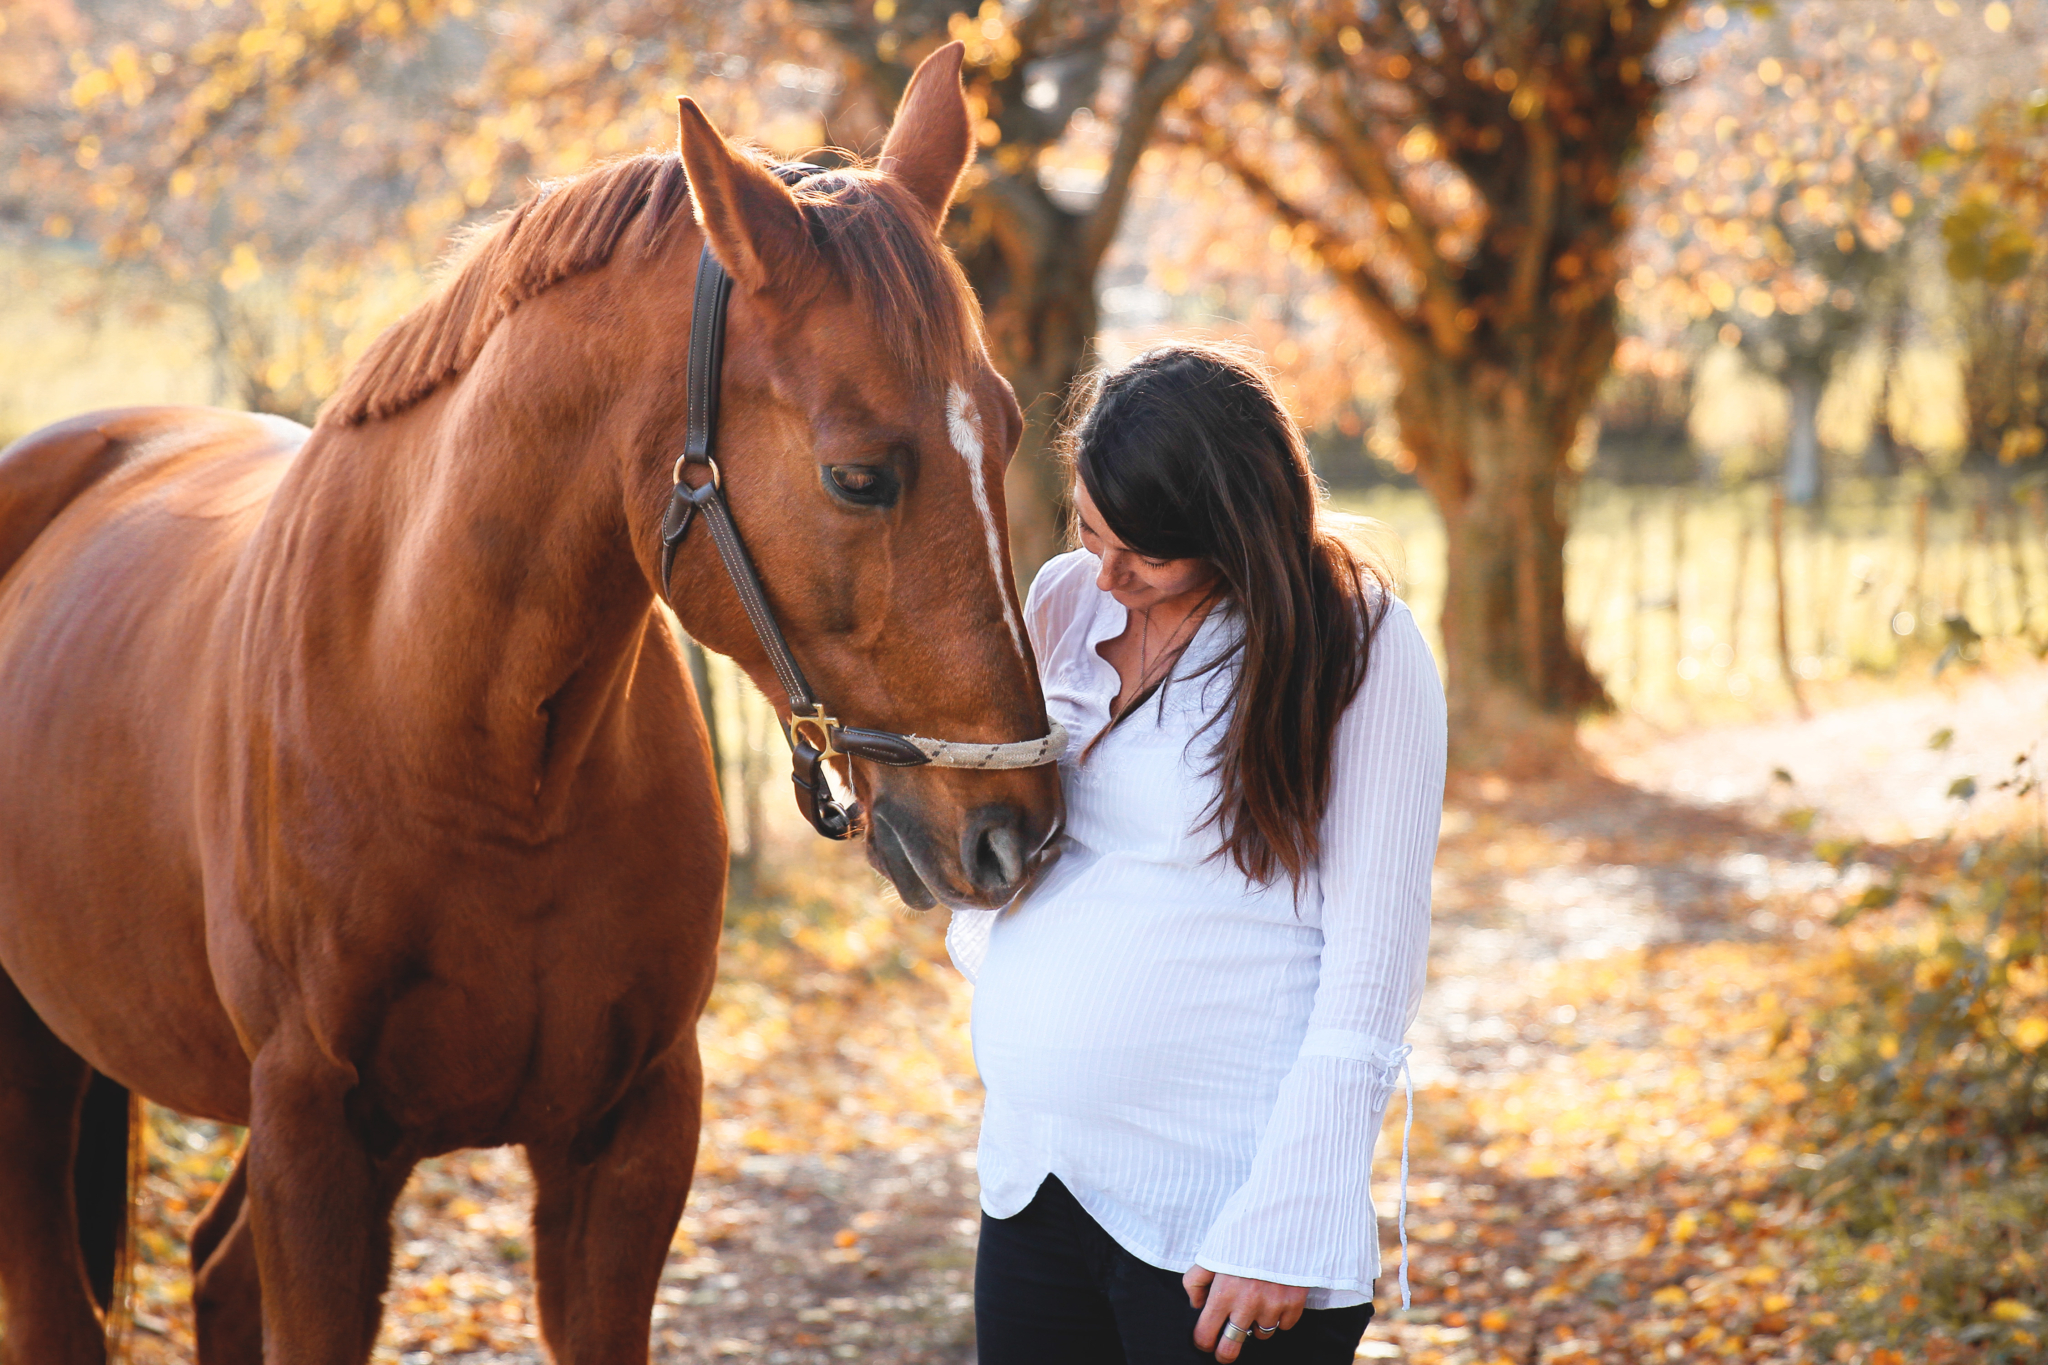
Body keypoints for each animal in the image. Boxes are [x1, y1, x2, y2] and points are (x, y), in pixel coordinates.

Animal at [0, 42, 1056, 1365]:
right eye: (858, 476)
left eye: (1007, 430)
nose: (1017, 830)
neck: (473, 751)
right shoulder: (315, 1146)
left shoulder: (629, 1138)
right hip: (41, 1073)